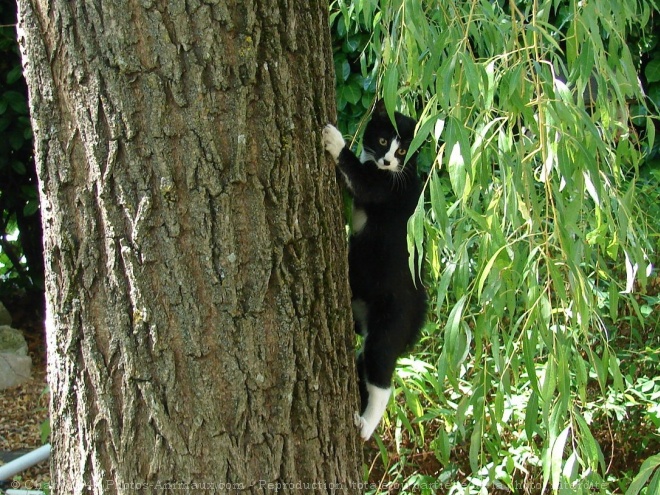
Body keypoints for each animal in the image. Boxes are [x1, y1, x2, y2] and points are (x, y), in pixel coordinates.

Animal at [320, 101, 426, 442]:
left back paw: (365, 425)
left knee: (381, 377)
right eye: (382, 140)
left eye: (403, 149)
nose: (388, 159)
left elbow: (359, 177)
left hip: (389, 325)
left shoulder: (384, 188)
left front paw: (335, 139)